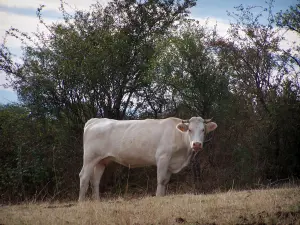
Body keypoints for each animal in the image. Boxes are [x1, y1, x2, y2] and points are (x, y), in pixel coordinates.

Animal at [78, 116, 217, 200]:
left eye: (203, 130)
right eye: (190, 130)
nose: (196, 144)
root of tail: (96, 120)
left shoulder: (170, 164)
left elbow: (165, 181)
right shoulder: (162, 157)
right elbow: (161, 180)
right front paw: (158, 197)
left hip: (101, 161)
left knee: (95, 180)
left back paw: (97, 201)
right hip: (90, 158)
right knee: (84, 177)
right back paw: (81, 202)